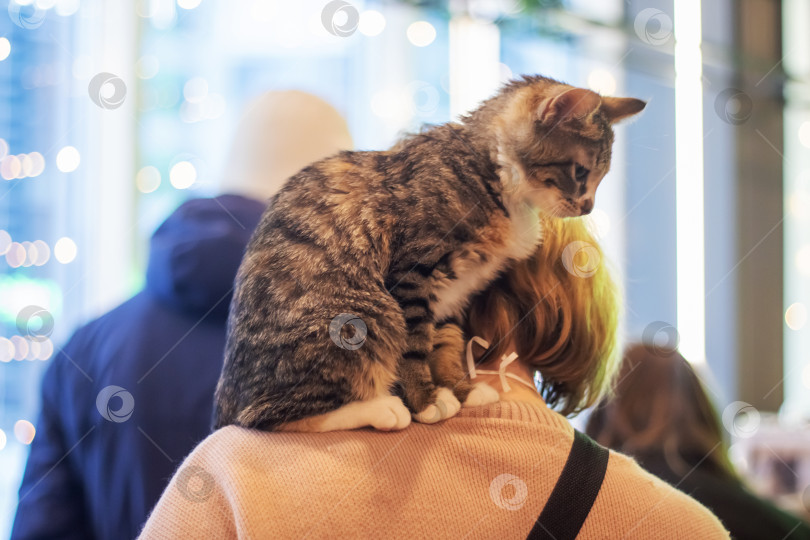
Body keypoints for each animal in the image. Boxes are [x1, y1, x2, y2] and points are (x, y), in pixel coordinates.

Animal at [215, 75, 644, 430]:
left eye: (601, 177)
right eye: (580, 172)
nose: (587, 206)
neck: (493, 174)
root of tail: (228, 396)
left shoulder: (457, 288)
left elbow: (447, 341)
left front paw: (461, 388)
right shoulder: (412, 272)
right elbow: (413, 346)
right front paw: (425, 399)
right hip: (368, 314)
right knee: (267, 417)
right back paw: (381, 408)